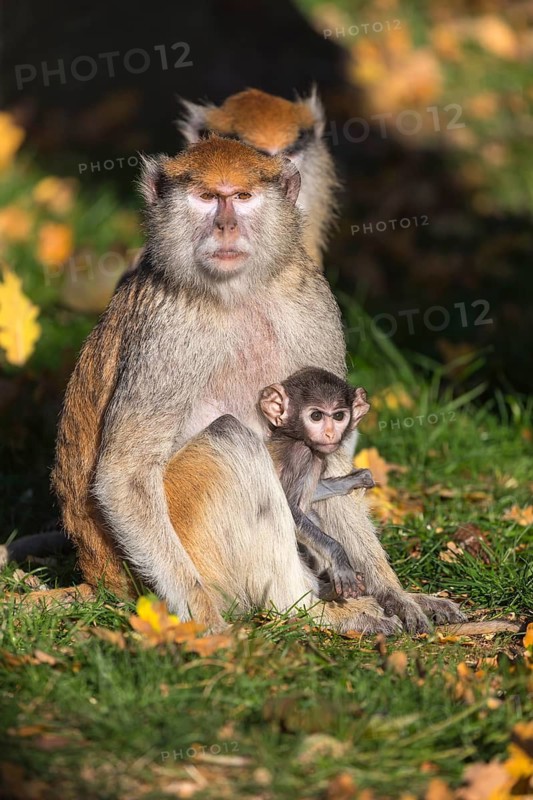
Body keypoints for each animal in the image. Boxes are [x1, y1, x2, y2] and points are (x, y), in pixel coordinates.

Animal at [259, 368, 375, 599]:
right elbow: (290, 512)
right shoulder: (301, 455)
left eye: (338, 416)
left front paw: (354, 479)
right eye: (316, 416)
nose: (330, 433)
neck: (294, 437)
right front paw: (340, 559)